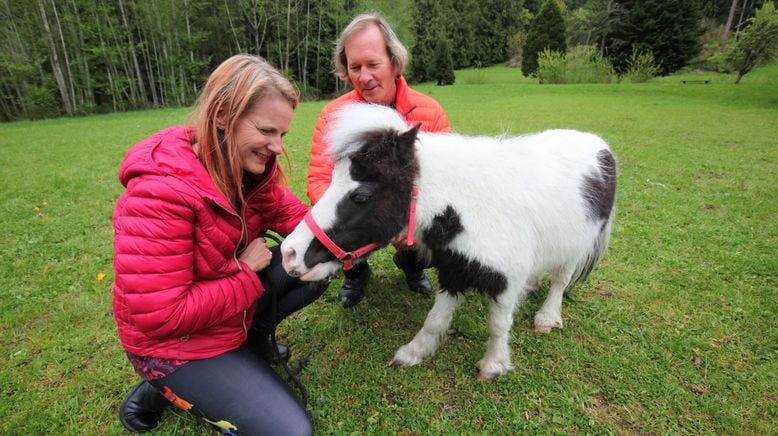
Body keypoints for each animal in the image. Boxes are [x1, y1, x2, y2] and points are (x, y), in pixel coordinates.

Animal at [282, 104, 616, 380]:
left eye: (361, 195)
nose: (289, 253)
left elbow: (499, 325)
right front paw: (411, 354)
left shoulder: (504, 280)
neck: (471, 208)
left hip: (576, 245)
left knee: (560, 279)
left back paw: (547, 317)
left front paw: (493, 366)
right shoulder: (455, 269)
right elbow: (435, 320)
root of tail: (600, 146)